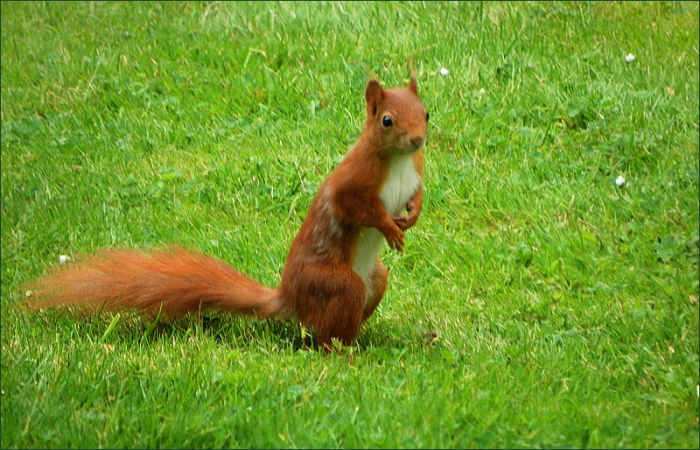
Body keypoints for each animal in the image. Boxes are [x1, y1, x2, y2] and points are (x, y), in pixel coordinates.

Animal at [27, 76, 429, 350]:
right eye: (387, 120)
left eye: (426, 112)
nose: (418, 139)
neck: (397, 162)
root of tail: (289, 298)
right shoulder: (353, 181)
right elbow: (356, 207)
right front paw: (389, 228)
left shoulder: (415, 172)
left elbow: (418, 194)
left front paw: (411, 215)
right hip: (334, 283)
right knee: (327, 335)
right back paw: (347, 353)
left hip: (375, 280)